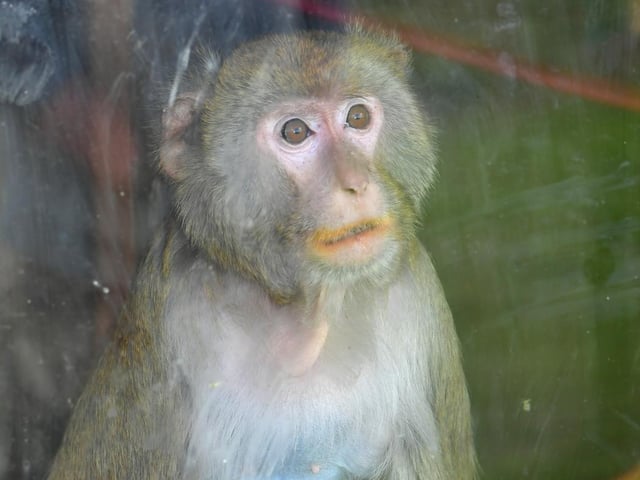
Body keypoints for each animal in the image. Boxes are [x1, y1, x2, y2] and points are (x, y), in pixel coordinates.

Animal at [48, 25, 477, 479]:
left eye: (358, 117)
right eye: (295, 132)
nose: (356, 182)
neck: (301, 316)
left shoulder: (416, 291)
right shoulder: (178, 306)